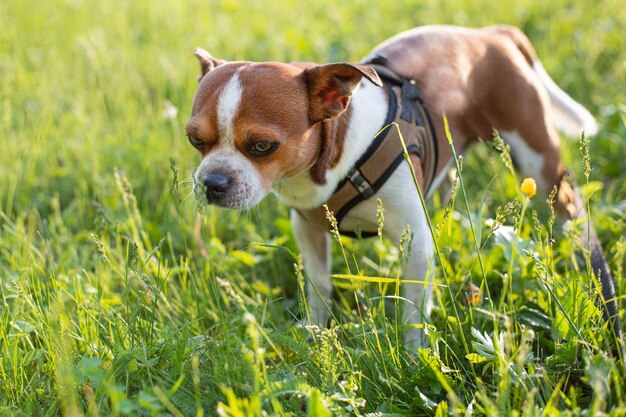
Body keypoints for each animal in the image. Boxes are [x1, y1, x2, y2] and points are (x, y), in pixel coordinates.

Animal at [184, 24, 616, 346]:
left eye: (262, 146)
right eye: (195, 140)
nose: (212, 181)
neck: (335, 160)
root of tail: (489, 34)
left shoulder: (416, 246)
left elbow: (412, 312)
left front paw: (413, 357)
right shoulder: (308, 232)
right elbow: (319, 286)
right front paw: (316, 330)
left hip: (539, 163)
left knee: (567, 207)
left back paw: (583, 256)